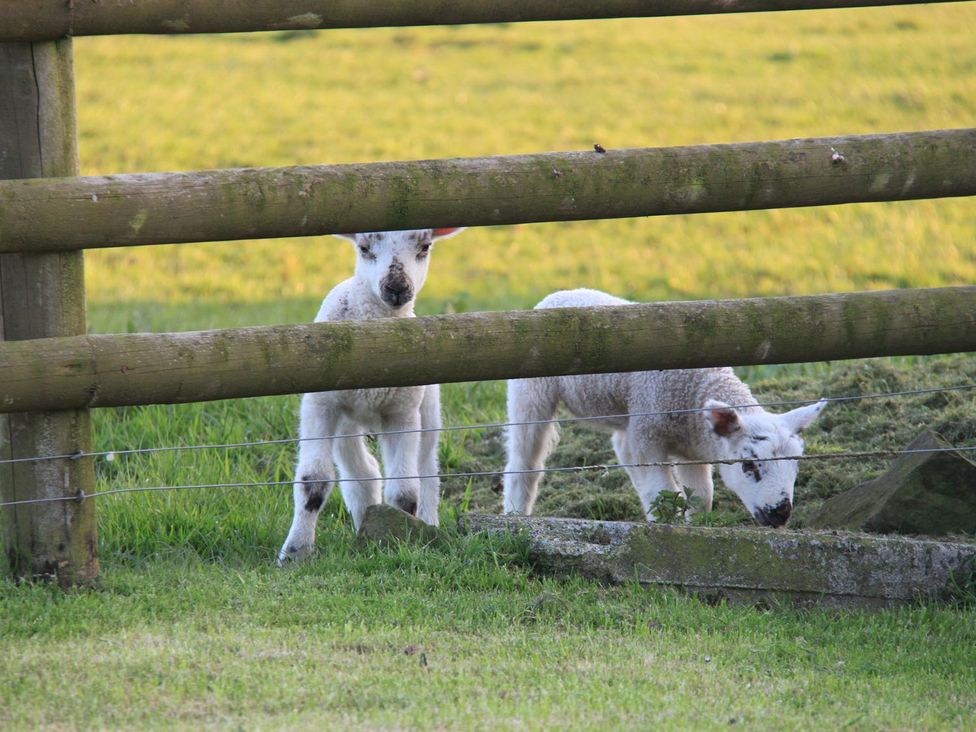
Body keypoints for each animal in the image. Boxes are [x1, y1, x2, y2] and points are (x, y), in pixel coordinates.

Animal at [278, 227, 465, 563]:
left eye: (425, 247)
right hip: (345, 420)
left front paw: (404, 539)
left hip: (428, 409)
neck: (373, 344)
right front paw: (296, 552)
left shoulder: (403, 411)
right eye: (364, 248)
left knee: (427, 472)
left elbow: (405, 492)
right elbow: (314, 481)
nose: (397, 287)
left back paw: (427, 523)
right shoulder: (320, 405)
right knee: (363, 473)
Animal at [503, 288, 826, 528]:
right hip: (531, 392)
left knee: (622, 447)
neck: (693, 391)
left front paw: (695, 526)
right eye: (749, 465)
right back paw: (515, 514)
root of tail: (558, 295)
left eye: (797, 464)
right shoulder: (650, 435)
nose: (780, 514)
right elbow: (663, 493)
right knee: (524, 461)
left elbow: (701, 497)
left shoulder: (692, 449)